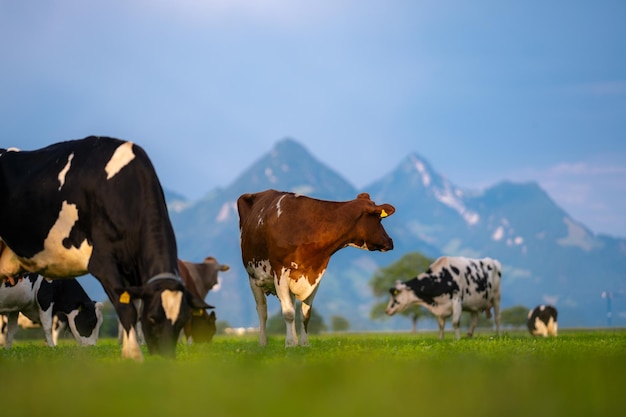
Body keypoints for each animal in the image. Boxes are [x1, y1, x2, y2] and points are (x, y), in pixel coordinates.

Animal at [0, 137, 210, 360]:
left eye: (182, 320)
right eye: (153, 318)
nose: (166, 359)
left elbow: (134, 311)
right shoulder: (102, 264)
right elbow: (126, 310)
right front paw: (134, 356)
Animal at [236, 190, 392, 346]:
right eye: (379, 219)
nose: (390, 242)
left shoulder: (315, 275)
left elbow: (305, 314)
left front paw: (303, 344)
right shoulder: (280, 272)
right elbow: (288, 313)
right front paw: (290, 343)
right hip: (253, 277)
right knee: (262, 310)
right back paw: (263, 343)